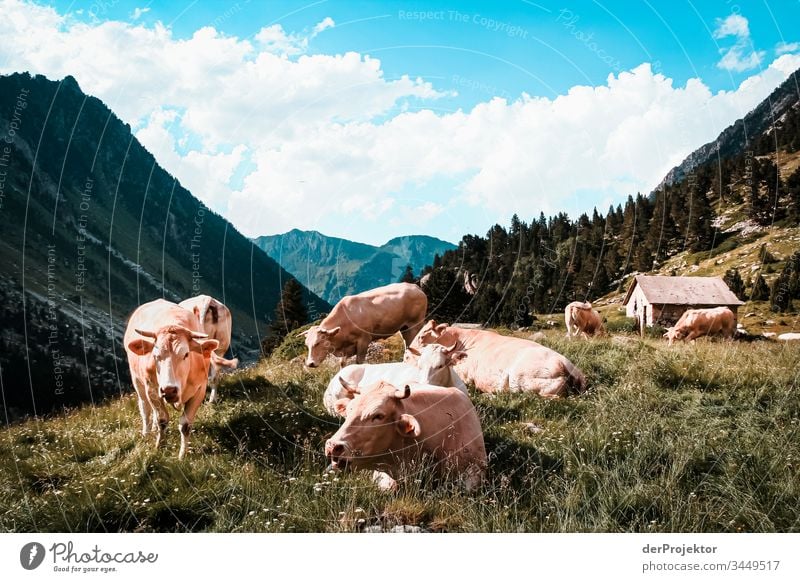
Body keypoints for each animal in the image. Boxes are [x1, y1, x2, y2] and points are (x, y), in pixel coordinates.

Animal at [122, 302, 217, 460]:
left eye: (186, 354)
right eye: (155, 355)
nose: (169, 390)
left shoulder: (200, 389)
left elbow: (185, 425)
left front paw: (182, 455)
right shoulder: (152, 389)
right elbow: (162, 419)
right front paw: (159, 446)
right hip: (137, 381)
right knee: (145, 409)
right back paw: (146, 433)